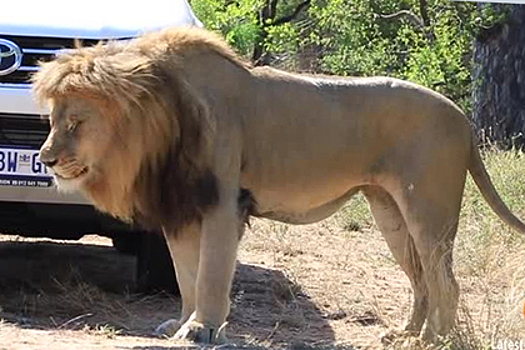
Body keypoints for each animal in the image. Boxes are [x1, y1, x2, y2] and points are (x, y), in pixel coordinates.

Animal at [33, 27, 524, 344]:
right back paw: (406, 333)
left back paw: (434, 338)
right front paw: (180, 324)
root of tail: (463, 119)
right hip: (390, 213)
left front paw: (202, 329)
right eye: (51, 119)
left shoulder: (222, 204)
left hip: (428, 212)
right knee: (421, 279)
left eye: (77, 122)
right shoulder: (183, 209)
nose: (46, 158)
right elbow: (186, 276)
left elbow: (210, 276)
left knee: (447, 282)